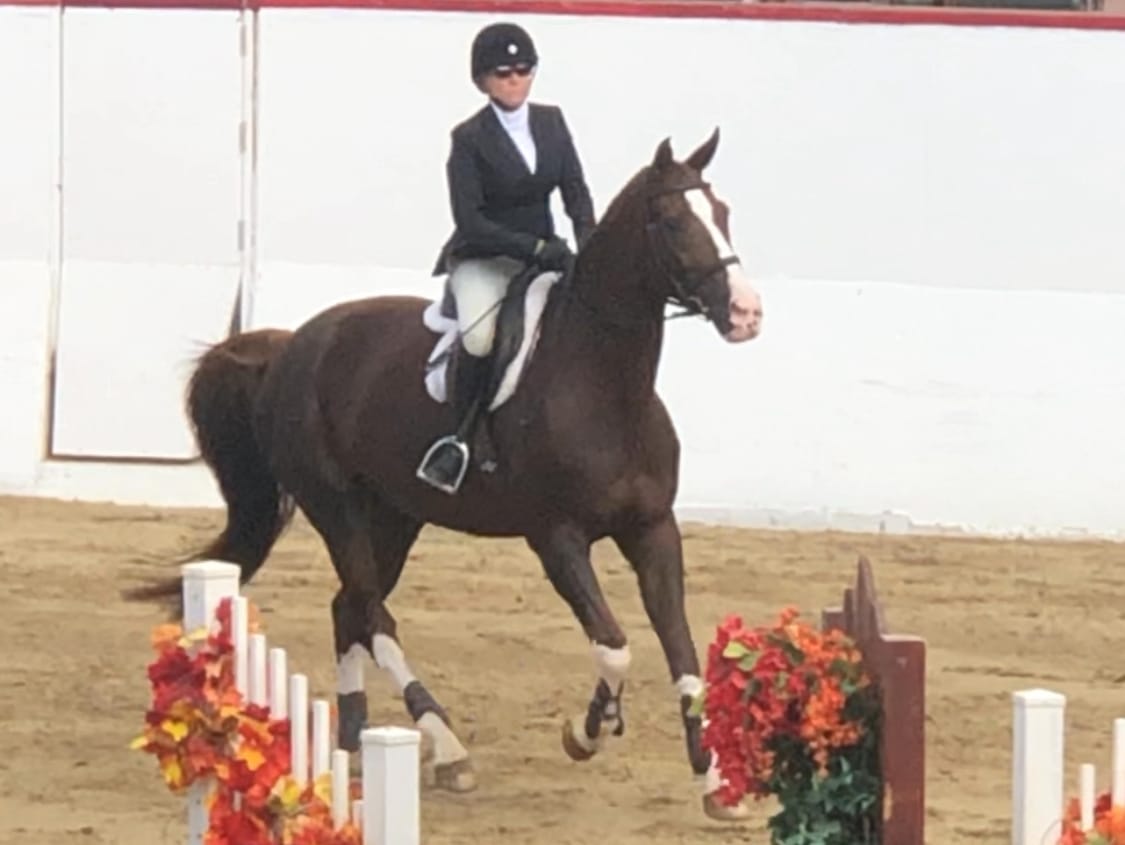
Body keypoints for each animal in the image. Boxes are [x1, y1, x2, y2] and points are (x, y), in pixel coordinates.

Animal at [129, 128, 765, 823]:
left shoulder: (653, 529)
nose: (746, 314)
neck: (606, 387)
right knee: (374, 616)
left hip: (395, 515)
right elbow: (615, 644)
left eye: (724, 213)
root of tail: (295, 343)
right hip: (337, 506)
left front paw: (714, 783)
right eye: (674, 221)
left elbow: (681, 652)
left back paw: (354, 737)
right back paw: (446, 746)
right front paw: (587, 731)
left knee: (350, 608)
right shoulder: (556, 538)